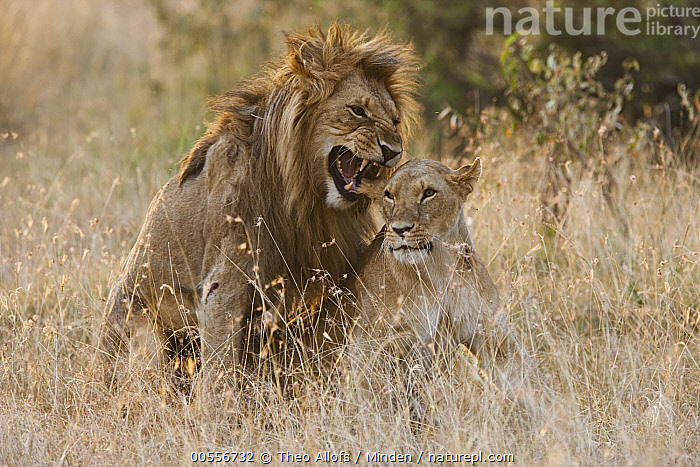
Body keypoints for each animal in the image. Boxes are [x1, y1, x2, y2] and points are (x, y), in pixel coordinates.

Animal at [98, 23, 420, 384]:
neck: (305, 197)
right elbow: (219, 374)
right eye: (357, 111)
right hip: (146, 335)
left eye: (394, 121)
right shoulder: (220, 287)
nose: (394, 151)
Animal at [349, 158, 530, 398]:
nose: (400, 230)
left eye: (428, 193)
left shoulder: (492, 330)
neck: (439, 270)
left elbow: (524, 381)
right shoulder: (371, 344)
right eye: (389, 195)